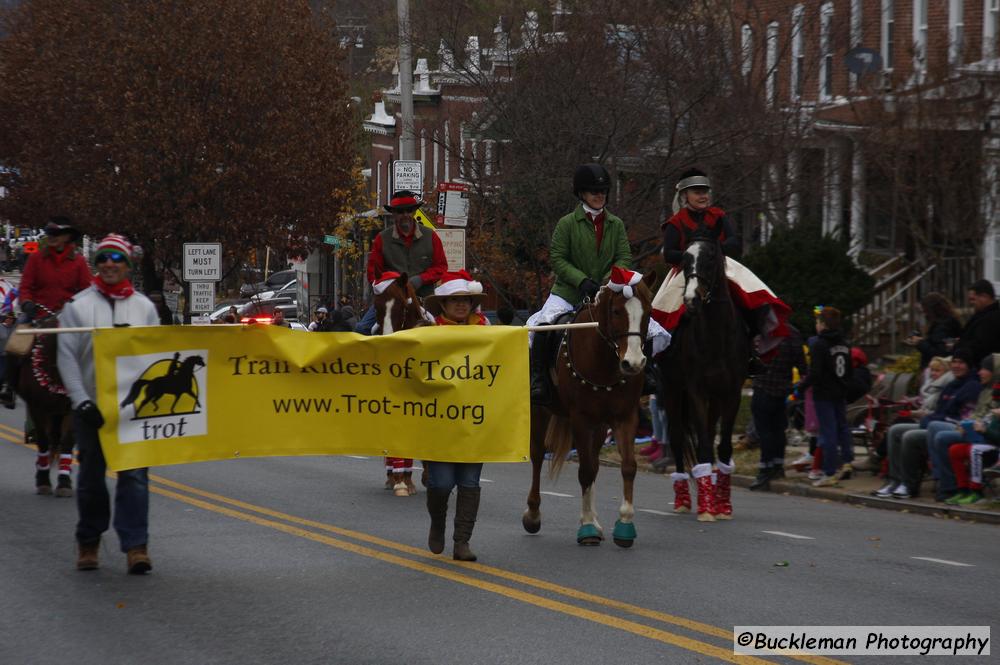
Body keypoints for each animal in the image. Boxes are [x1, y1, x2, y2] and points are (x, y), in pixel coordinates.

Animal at [12, 318, 74, 498]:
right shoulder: (37, 408)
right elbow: (43, 441)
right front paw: (43, 481)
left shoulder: (72, 410)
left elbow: (67, 442)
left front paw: (64, 483)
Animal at [656, 231, 752, 520]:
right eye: (685, 261)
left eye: (710, 259)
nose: (691, 300)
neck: (716, 337)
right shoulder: (696, 391)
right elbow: (703, 448)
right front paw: (707, 507)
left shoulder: (731, 393)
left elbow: (722, 447)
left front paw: (722, 505)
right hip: (673, 390)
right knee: (678, 440)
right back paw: (683, 499)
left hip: (714, 398)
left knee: (708, 435)